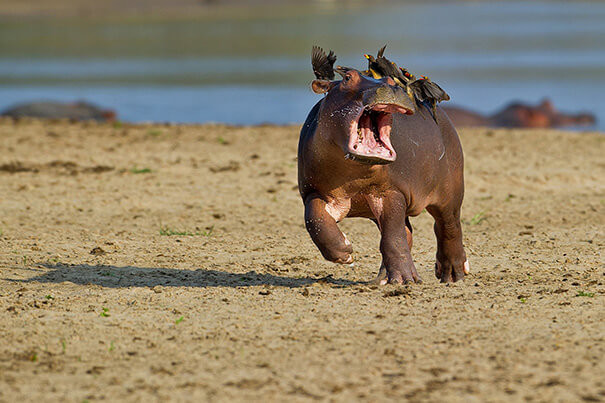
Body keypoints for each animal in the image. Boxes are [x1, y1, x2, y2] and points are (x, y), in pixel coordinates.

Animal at [298, 56, 468, 284]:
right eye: (347, 78)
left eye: (391, 80)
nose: (390, 87)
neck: (353, 175)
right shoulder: (314, 191)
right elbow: (315, 220)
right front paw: (345, 252)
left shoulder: (391, 191)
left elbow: (393, 237)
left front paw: (406, 280)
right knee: (407, 232)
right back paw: (383, 279)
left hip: (451, 192)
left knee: (448, 227)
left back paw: (452, 275)